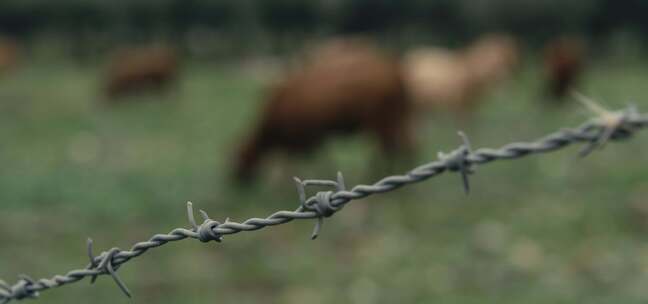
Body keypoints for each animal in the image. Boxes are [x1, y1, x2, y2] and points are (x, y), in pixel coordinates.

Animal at [235, 37, 412, 180]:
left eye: (239, 157)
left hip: (381, 120)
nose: (234, 180)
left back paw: (380, 174)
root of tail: (392, 68)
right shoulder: (314, 135)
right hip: (394, 119)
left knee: (390, 148)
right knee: (401, 146)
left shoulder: (307, 136)